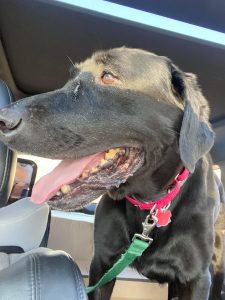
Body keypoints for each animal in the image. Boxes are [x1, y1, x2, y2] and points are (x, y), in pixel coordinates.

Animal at [0, 48, 225, 298]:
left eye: (108, 76)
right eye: (71, 77)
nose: (3, 119)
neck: (149, 205)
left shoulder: (196, 278)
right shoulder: (102, 264)